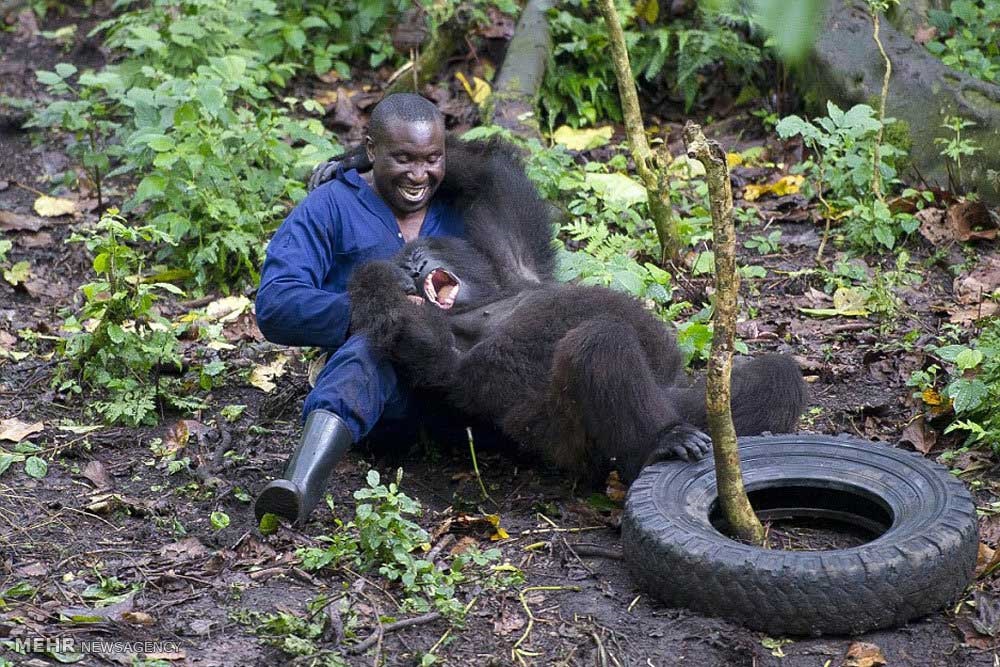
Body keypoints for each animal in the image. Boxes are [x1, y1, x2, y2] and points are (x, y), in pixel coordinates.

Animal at [334, 138, 804, 482]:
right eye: (404, 263)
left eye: (418, 253)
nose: (412, 269)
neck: (487, 299)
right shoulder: (451, 348)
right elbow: (428, 349)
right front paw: (380, 282)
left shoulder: (515, 266)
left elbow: (492, 179)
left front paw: (354, 157)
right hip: (577, 447)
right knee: (600, 344)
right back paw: (658, 441)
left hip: (688, 403)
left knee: (779, 377)